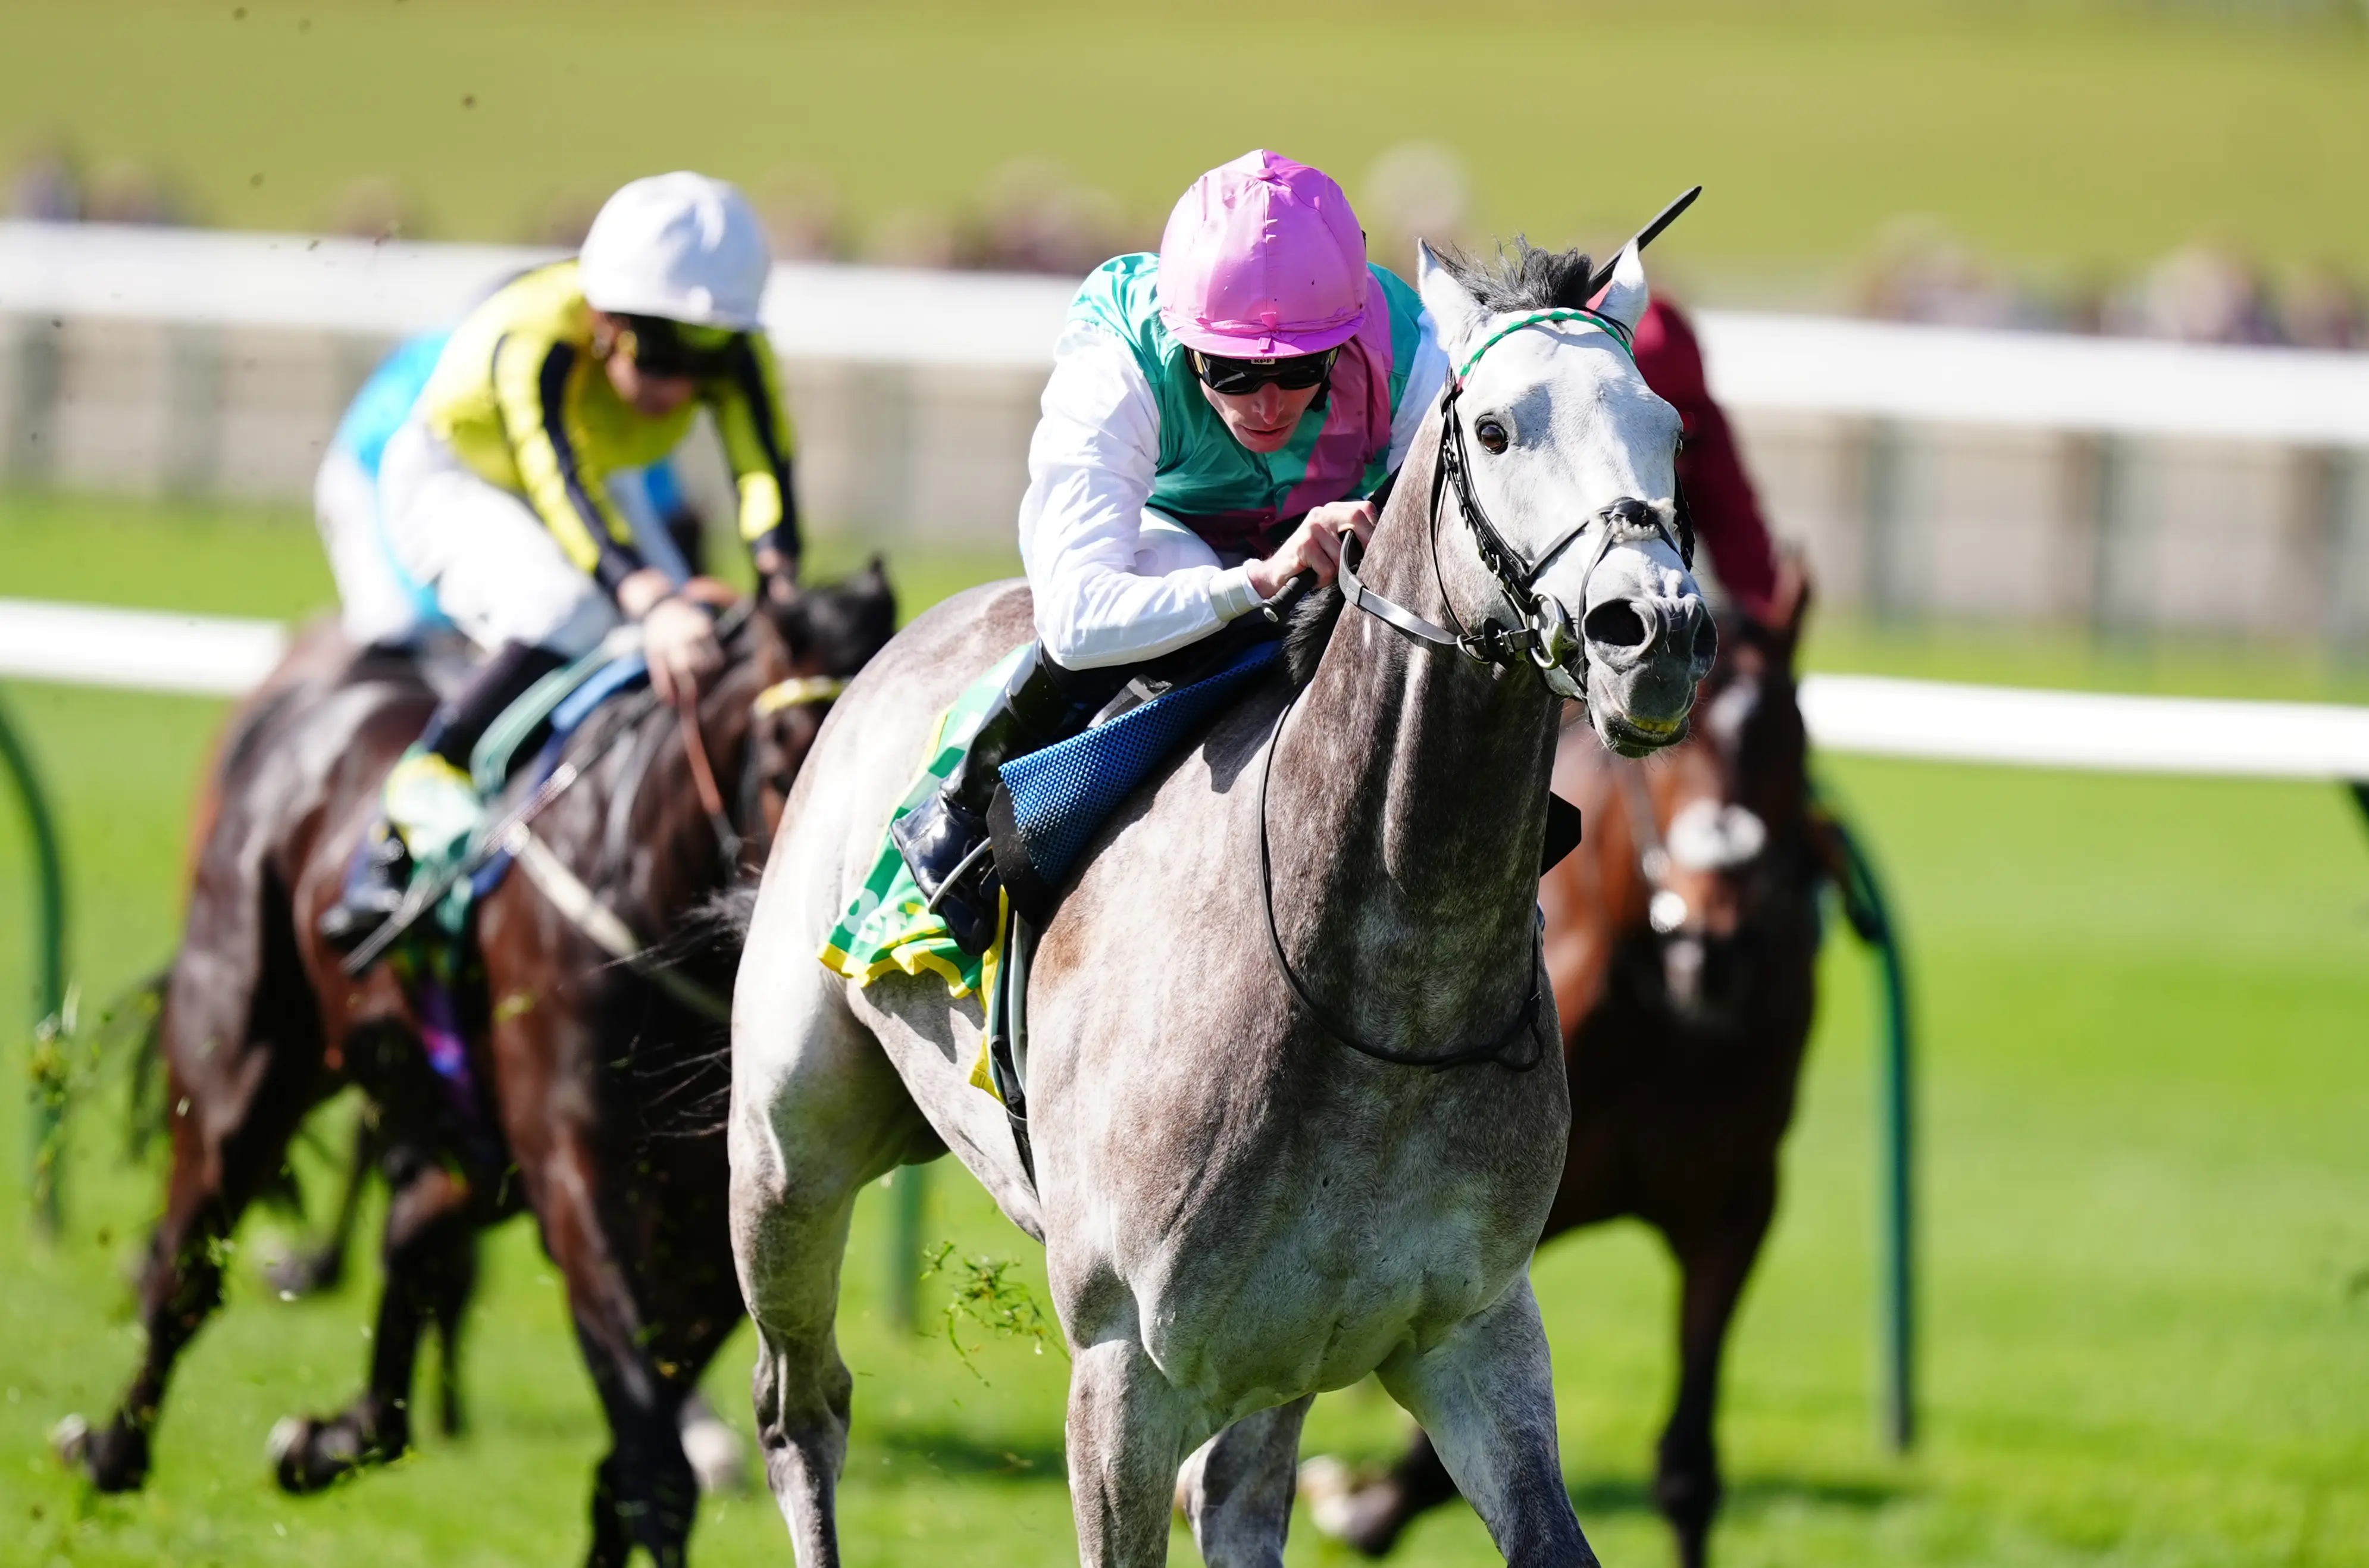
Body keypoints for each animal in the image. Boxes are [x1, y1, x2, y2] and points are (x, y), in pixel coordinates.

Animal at [56, 563, 896, 1568]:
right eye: (782, 762)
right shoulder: (582, 1174)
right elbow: (652, 1460)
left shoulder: (717, 1212)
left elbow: (634, 1455)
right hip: (243, 1070)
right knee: (187, 1268)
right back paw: (112, 1448)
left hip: (468, 1141)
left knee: (412, 1239)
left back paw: (330, 1437)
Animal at [728, 238, 1717, 1566]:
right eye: (1497, 429)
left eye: (1669, 429)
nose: (1648, 633)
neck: (1380, 988)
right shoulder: (1121, 1369)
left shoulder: (1468, 1331)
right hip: (789, 1148)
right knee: (803, 1408)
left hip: (1276, 1349)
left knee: (1237, 1494)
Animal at [1300, 568, 1826, 1568]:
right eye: (1674, 750)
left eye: (1792, 740)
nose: (1717, 946)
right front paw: (1360, 1504)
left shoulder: (1733, 1207)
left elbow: (1687, 1463)